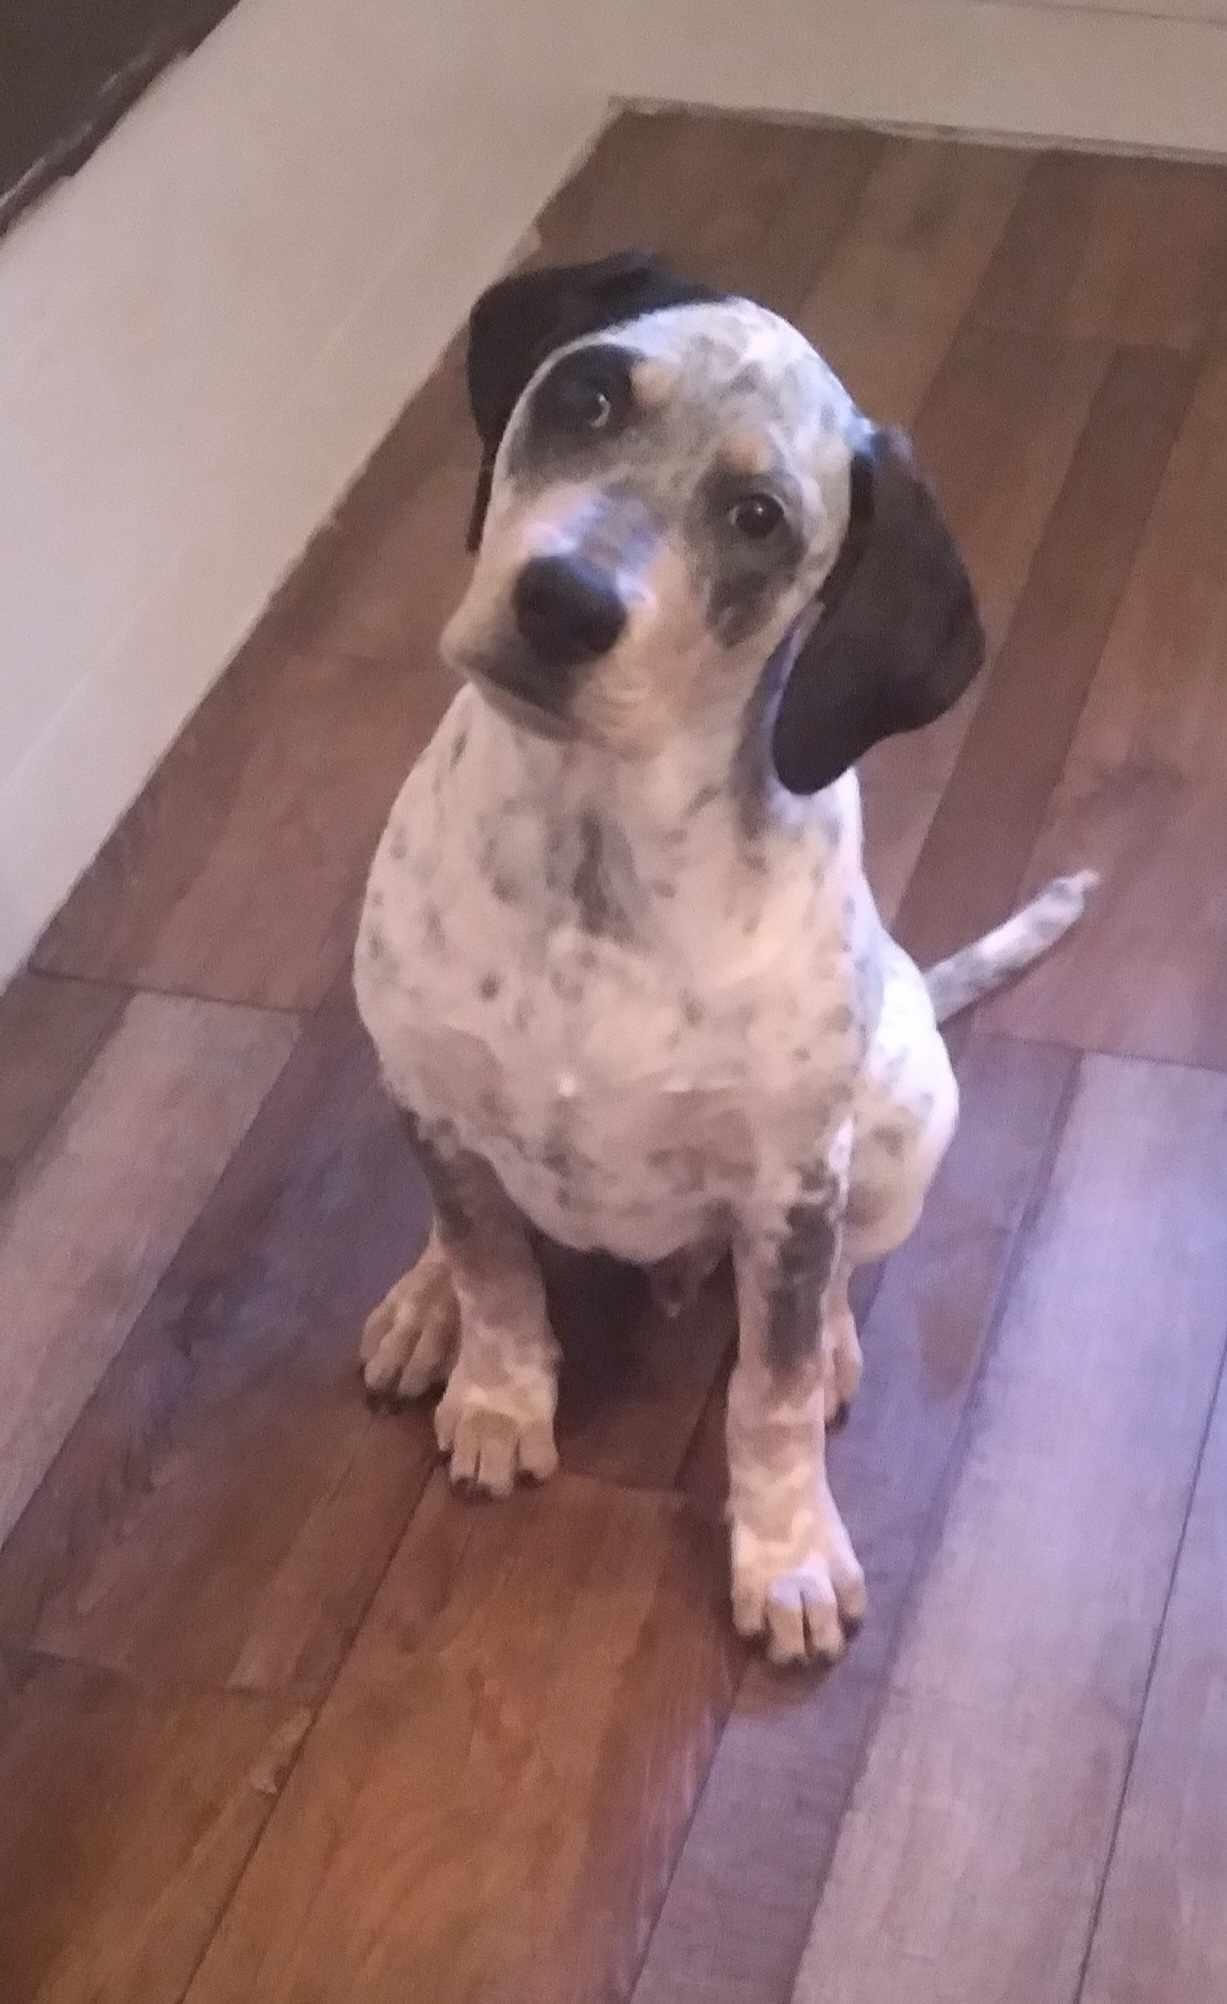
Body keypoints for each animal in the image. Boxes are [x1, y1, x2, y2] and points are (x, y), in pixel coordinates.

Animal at [352, 246, 1090, 1659]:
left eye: (759, 519)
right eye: (586, 396)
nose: (561, 603)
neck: (596, 866)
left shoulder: (794, 1182)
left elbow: (774, 1392)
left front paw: (787, 1552)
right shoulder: (433, 1096)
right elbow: (491, 1264)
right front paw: (497, 1395)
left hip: (902, 1124)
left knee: (840, 1277)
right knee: (456, 1218)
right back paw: (420, 1302)